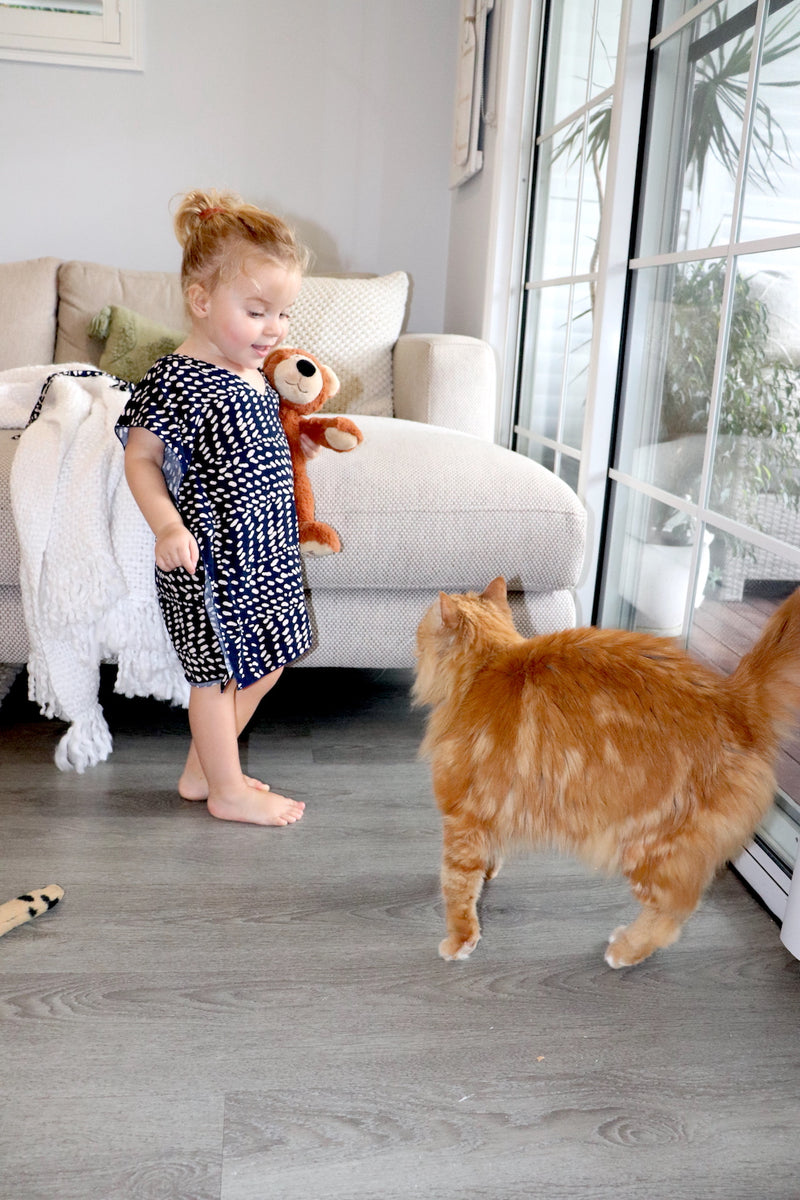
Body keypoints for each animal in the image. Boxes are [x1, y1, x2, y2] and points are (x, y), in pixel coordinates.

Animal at [417, 578, 800, 964]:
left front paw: (460, 941)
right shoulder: (489, 810)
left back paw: (625, 950)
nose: (415, 639)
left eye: (421, 628)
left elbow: (457, 887)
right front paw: (490, 872)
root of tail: (736, 701)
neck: (483, 669)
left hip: (648, 847)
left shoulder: (461, 818)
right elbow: (487, 857)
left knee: (672, 914)